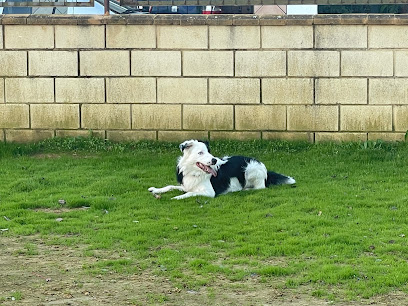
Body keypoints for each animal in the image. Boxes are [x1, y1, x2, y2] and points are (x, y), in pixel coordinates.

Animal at [148, 139, 294, 201]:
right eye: (200, 153)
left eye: (209, 152)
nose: (213, 160)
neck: (195, 172)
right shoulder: (186, 185)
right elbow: (170, 186)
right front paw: (155, 190)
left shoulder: (209, 193)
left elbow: (189, 194)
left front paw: (176, 197)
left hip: (250, 168)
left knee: (260, 187)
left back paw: (245, 189)